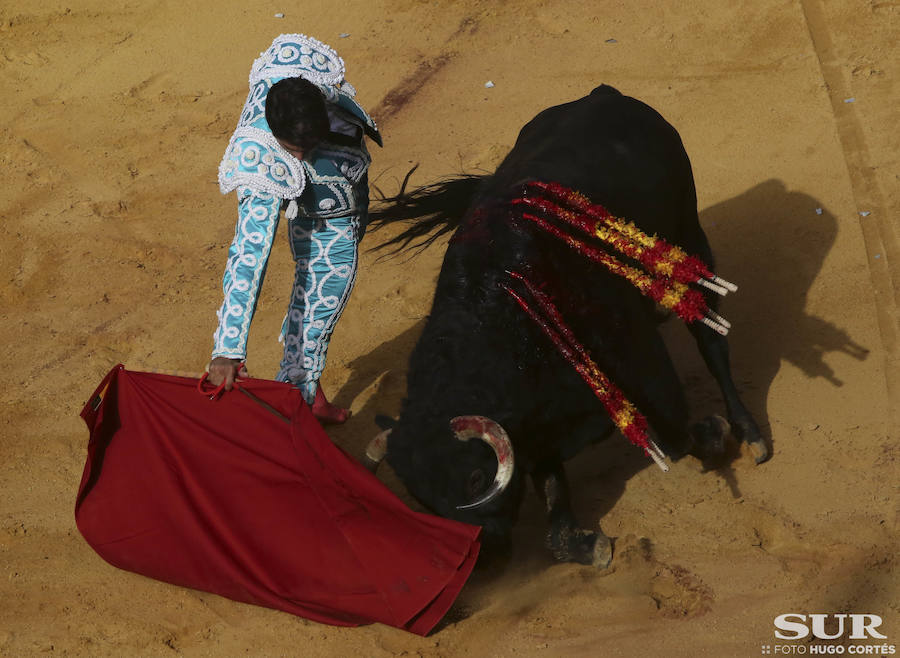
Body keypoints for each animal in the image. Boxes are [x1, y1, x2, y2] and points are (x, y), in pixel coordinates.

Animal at [366, 84, 768, 568]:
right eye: (422, 499)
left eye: (476, 479)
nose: (479, 558)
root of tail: (604, 94)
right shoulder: (535, 427)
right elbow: (554, 503)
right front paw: (587, 545)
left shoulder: (638, 360)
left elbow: (672, 434)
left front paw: (714, 433)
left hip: (688, 234)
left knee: (710, 337)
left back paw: (748, 430)